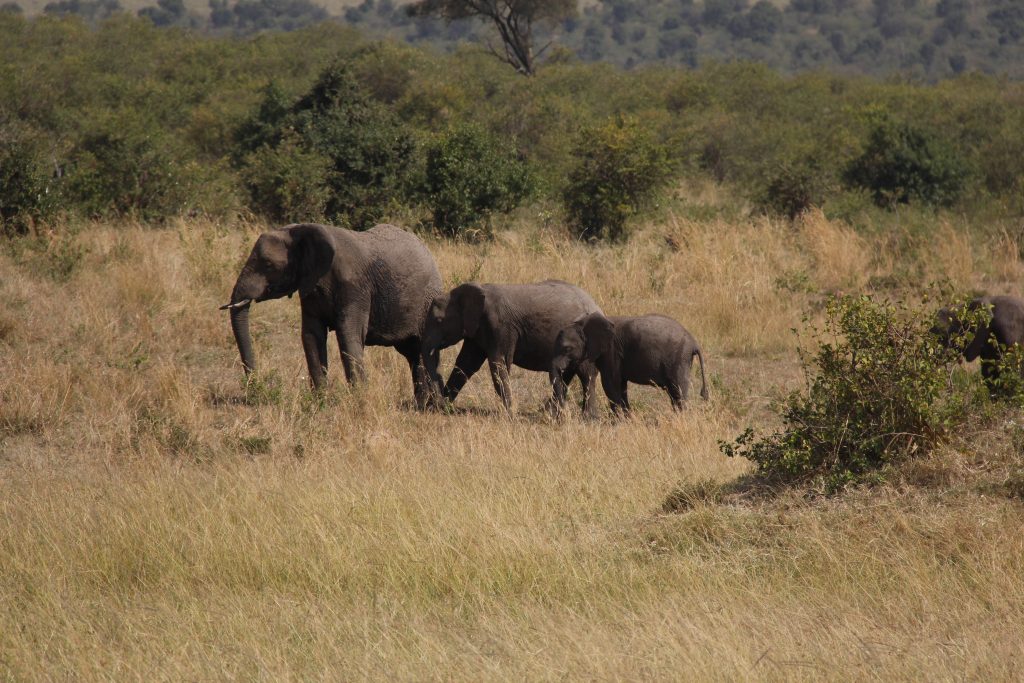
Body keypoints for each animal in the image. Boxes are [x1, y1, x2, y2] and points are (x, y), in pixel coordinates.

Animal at [220, 223, 444, 405]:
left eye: (268, 264)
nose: (256, 388)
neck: (301, 230)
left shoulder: (354, 288)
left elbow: (348, 336)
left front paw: (359, 400)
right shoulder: (309, 287)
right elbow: (311, 336)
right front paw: (321, 401)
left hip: (428, 302)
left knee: (423, 349)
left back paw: (428, 404)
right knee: (412, 352)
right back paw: (425, 402)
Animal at [419, 278, 602, 417]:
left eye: (439, 321)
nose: (434, 404)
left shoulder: (501, 326)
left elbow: (498, 363)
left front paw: (508, 414)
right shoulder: (477, 329)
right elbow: (466, 363)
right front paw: (444, 407)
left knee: (586, 375)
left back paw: (587, 417)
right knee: (566, 375)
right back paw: (547, 412)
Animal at [548, 313, 708, 413]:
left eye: (567, 349)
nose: (562, 413)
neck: (583, 324)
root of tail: (694, 343)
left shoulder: (611, 352)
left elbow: (610, 384)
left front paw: (619, 421)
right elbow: (621, 386)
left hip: (678, 359)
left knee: (678, 390)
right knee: (674, 392)